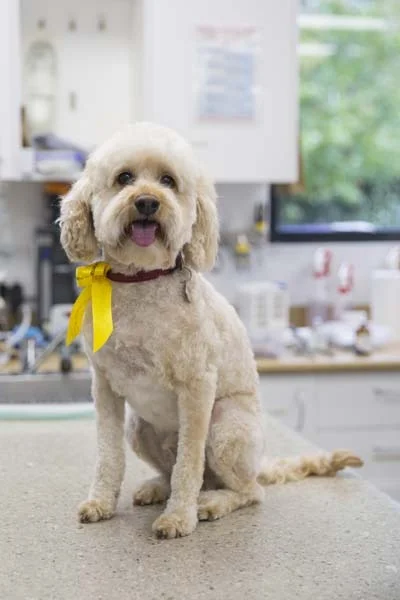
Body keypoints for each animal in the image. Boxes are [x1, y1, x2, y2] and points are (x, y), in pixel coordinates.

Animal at [59, 122, 362, 540]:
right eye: (124, 178)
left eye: (168, 181)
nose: (148, 202)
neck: (141, 282)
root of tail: (260, 465)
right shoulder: (104, 386)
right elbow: (108, 455)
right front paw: (101, 502)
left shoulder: (197, 387)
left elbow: (188, 466)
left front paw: (177, 518)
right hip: (139, 427)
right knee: (176, 472)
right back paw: (157, 488)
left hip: (226, 427)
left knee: (245, 490)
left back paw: (212, 502)